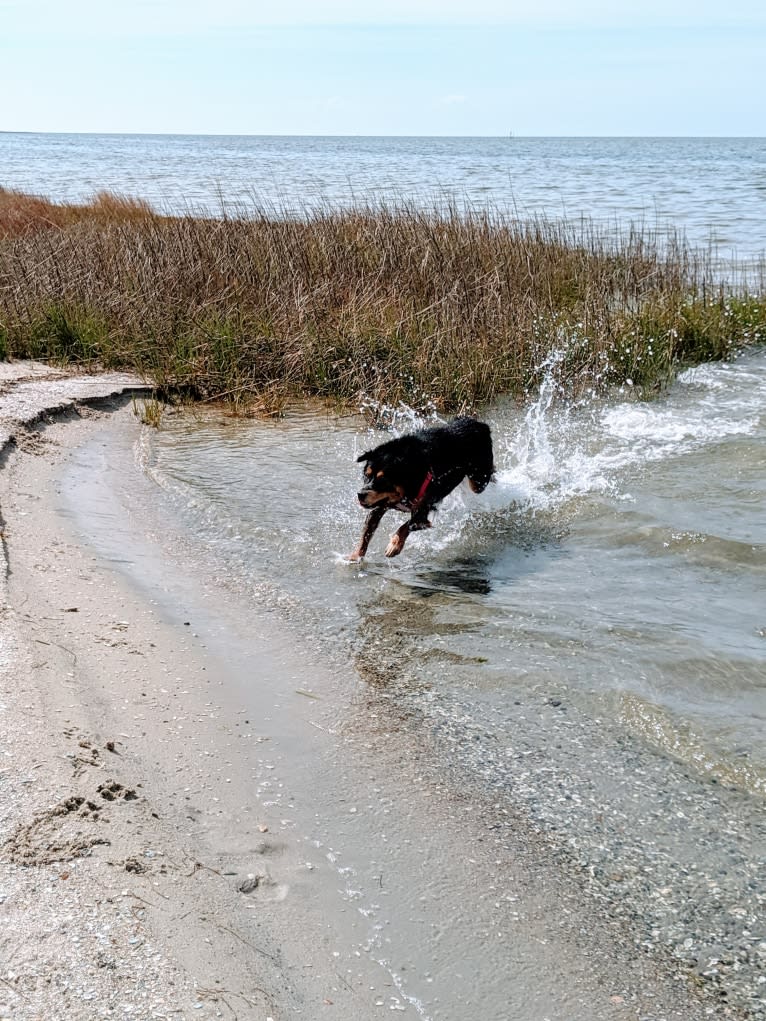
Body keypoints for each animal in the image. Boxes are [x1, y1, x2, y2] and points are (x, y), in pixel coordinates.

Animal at [351, 414, 494, 563]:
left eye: (383, 480)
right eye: (366, 475)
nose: (360, 494)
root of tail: (480, 424)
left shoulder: (423, 509)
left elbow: (407, 525)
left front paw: (394, 545)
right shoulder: (381, 503)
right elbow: (367, 530)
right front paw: (356, 556)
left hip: (478, 480)